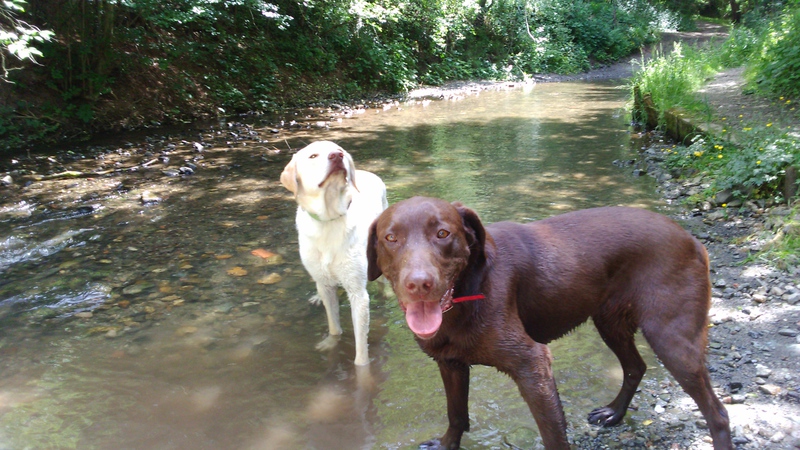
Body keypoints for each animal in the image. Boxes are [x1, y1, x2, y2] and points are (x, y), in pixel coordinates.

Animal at [280, 141, 388, 366]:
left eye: (340, 151)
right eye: (313, 156)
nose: (337, 156)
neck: (328, 219)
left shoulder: (358, 293)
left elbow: (360, 344)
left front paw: (362, 370)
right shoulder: (325, 281)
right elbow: (333, 324)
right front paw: (330, 343)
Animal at [367, 197, 732, 449]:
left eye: (443, 233)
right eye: (390, 238)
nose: (419, 283)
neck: (466, 296)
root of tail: (691, 240)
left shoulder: (533, 365)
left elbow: (553, 434)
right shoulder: (450, 363)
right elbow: (456, 414)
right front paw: (445, 445)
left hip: (671, 338)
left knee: (717, 413)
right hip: (609, 322)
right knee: (635, 367)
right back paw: (614, 413)